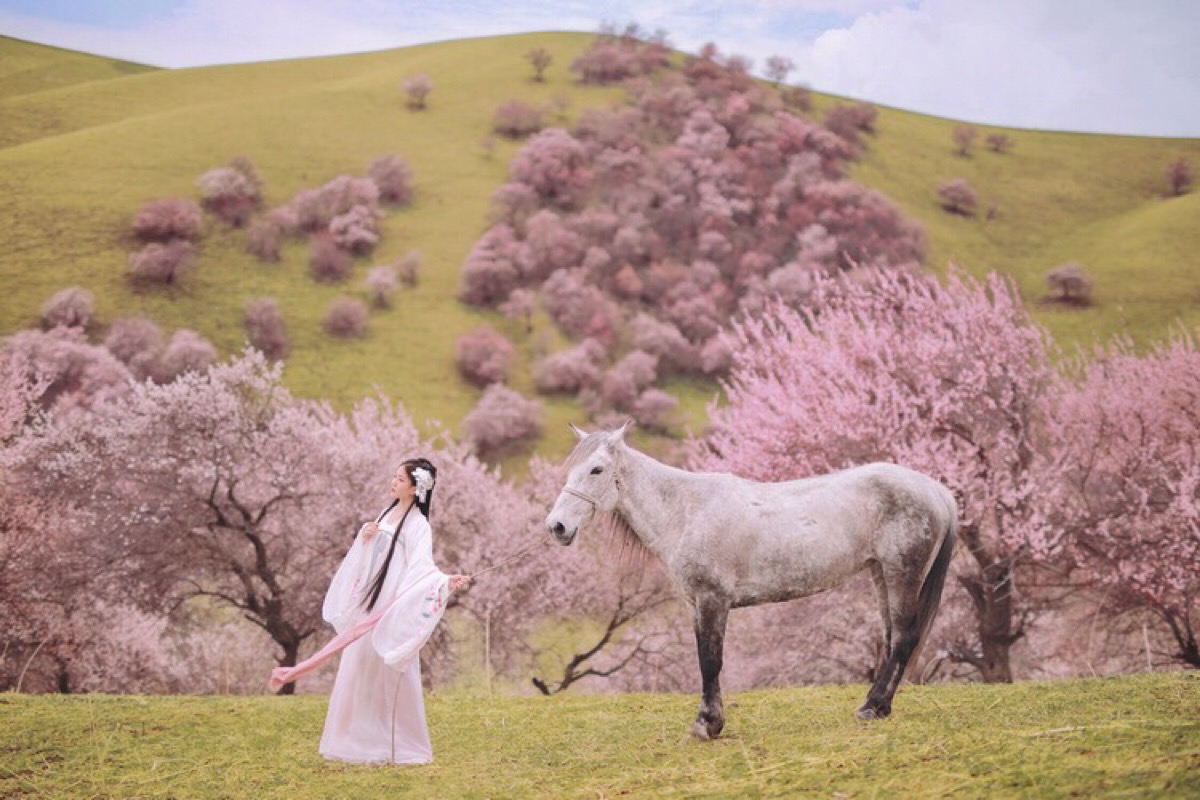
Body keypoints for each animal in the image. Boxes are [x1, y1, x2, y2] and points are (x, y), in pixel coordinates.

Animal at [547, 422, 955, 743]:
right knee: (891, 638)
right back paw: (877, 706)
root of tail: (936, 491)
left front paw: (708, 724)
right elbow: (705, 659)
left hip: (902, 574)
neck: (687, 510)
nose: (557, 526)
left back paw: (871, 708)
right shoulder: (696, 605)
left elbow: (710, 661)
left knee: (903, 639)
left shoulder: (713, 600)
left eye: (596, 469)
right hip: (881, 574)